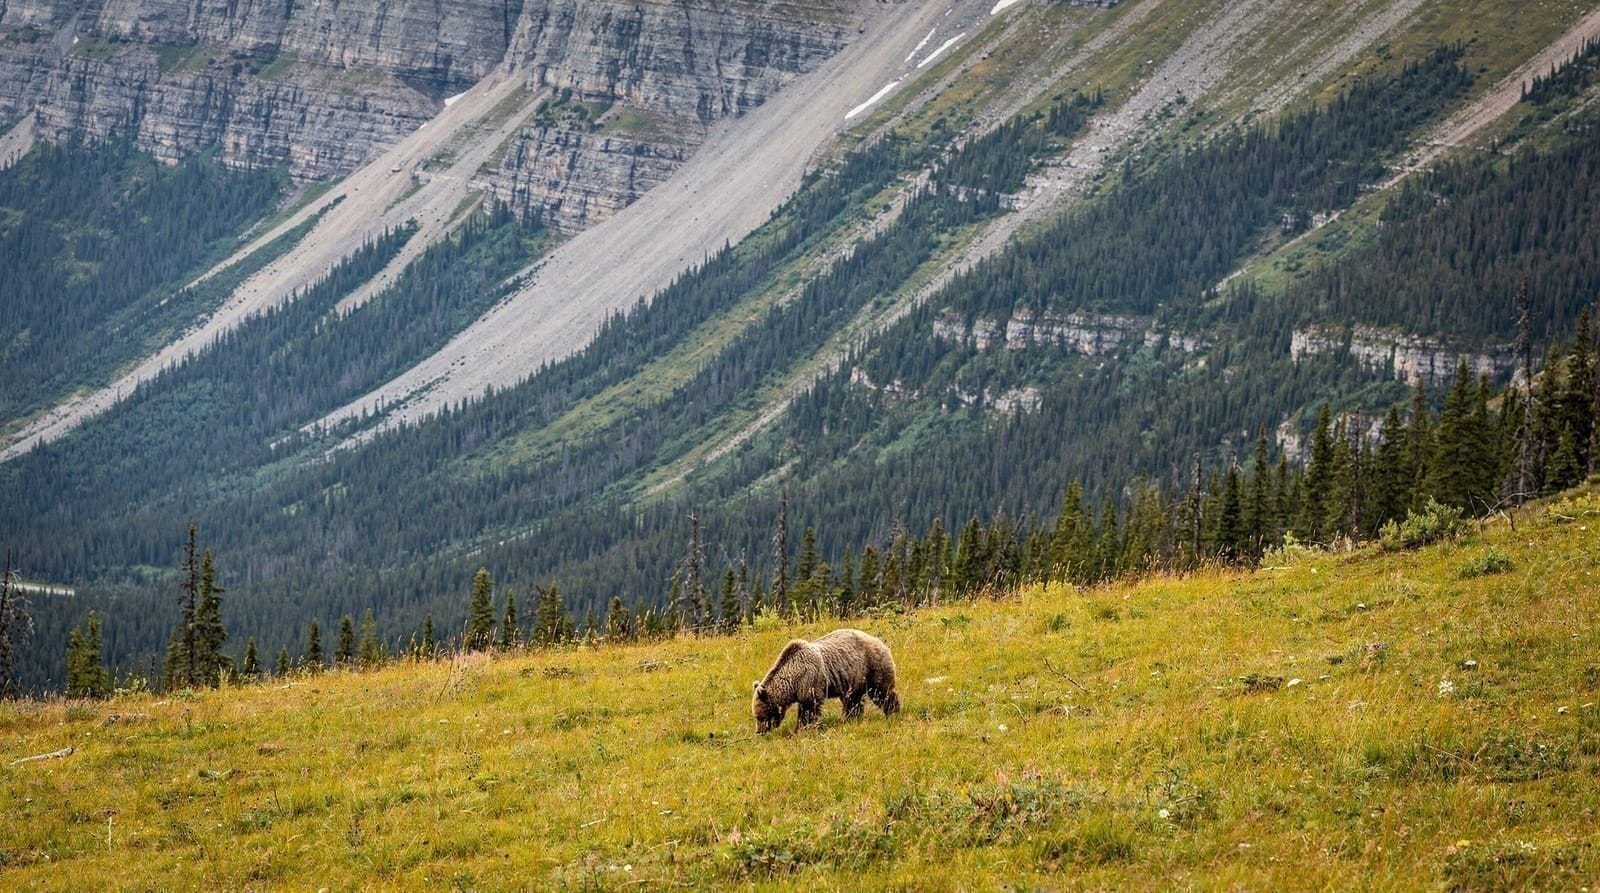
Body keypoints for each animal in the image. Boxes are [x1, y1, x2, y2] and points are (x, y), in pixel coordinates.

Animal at [752, 628, 900, 733]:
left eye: (760, 717)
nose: (759, 732)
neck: (792, 680)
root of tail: (880, 642)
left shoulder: (809, 681)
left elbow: (808, 709)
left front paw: (800, 729)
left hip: (872, 666)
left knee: (881, 692)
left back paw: (893, 710)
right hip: (855, 678)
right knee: (854, 700)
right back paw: (850, 718)